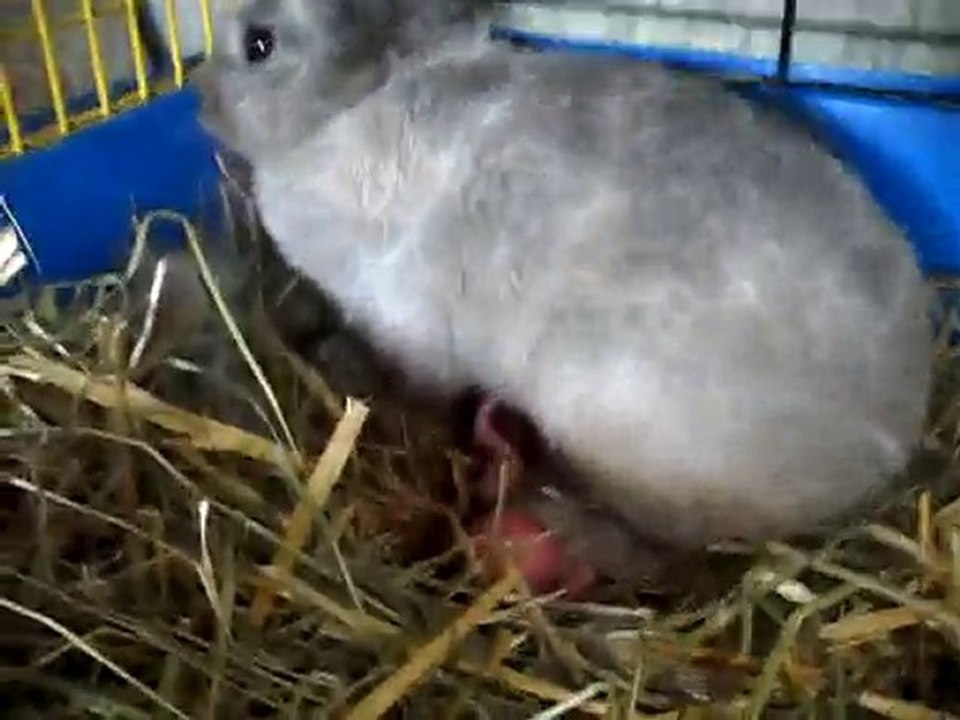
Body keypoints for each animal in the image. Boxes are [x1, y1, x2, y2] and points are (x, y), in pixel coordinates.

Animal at [192, 0, 934, 595]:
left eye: (259, 43)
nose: (200, 101)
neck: (350, 109)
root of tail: (884, 448)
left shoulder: (411, 334)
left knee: (661, 553)